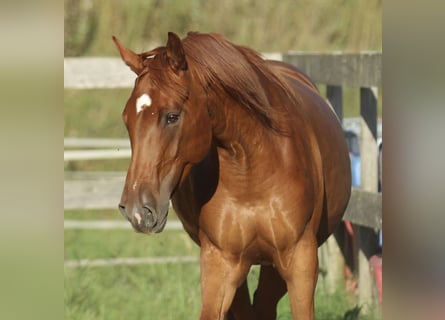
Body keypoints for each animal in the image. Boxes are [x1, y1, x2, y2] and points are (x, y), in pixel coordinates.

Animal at [114, 30, 350, 320]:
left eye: (172, 116)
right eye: (127, 119)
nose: (137, 210)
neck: (252, 175)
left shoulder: (299, 260)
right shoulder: (221, 262)